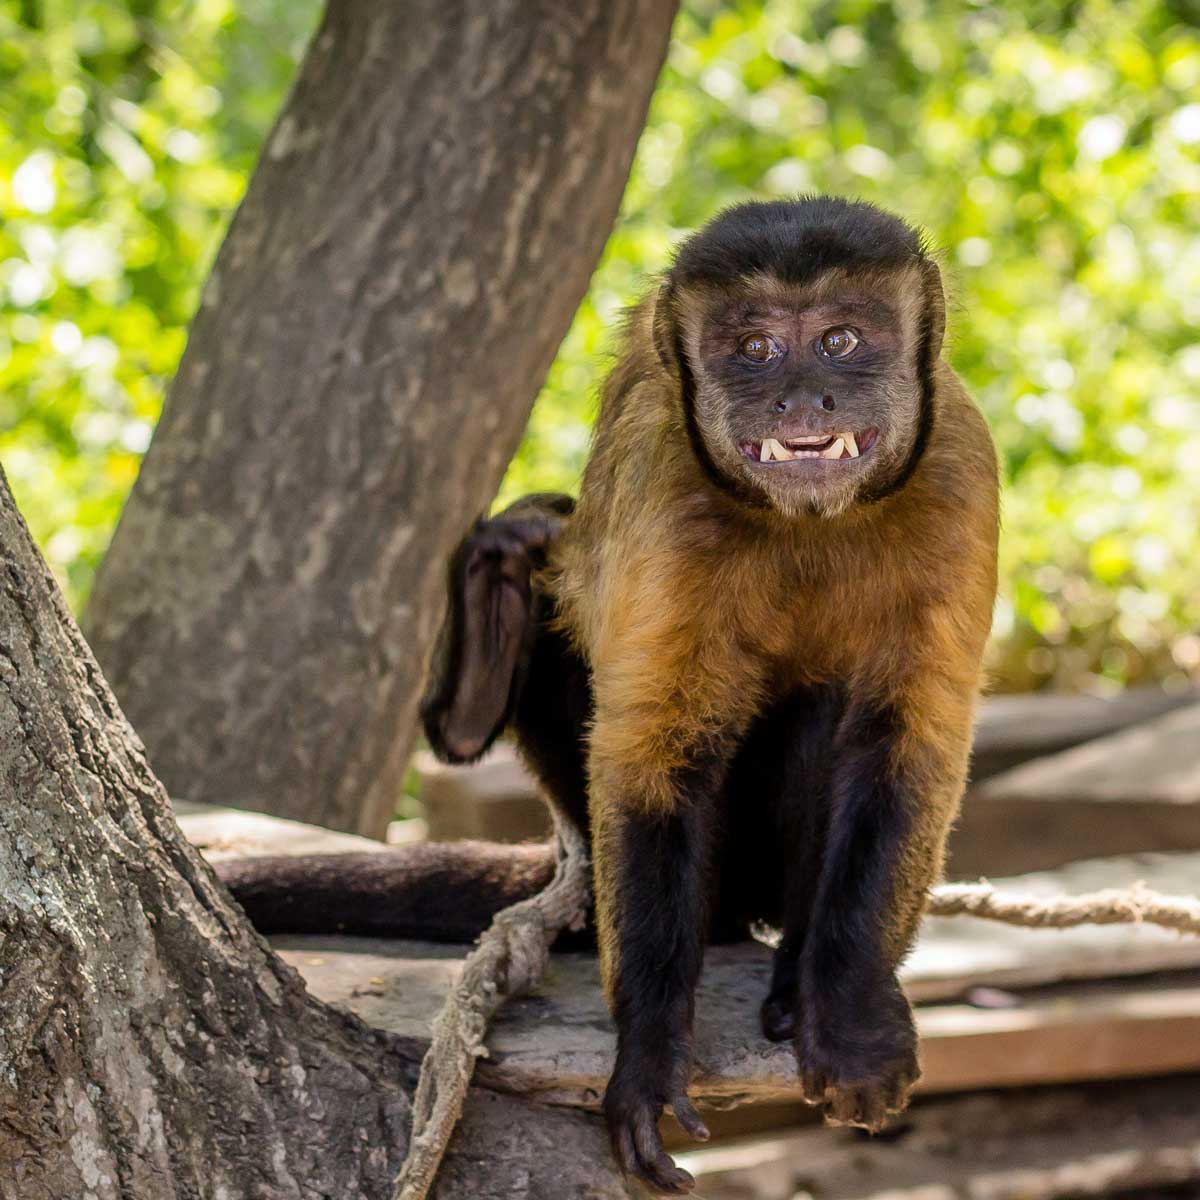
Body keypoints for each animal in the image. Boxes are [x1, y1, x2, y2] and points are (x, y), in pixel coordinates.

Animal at [220, 201, 998, 1195]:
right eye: (754, 348)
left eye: (840, 340)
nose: (799, 399)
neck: (806, 519)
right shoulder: (664, 485)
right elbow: (649, 758)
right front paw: (651, 1054)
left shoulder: (960, 472)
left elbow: (912, 746)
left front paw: (852, 1014)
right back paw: (492, 631)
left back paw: (799, 974)